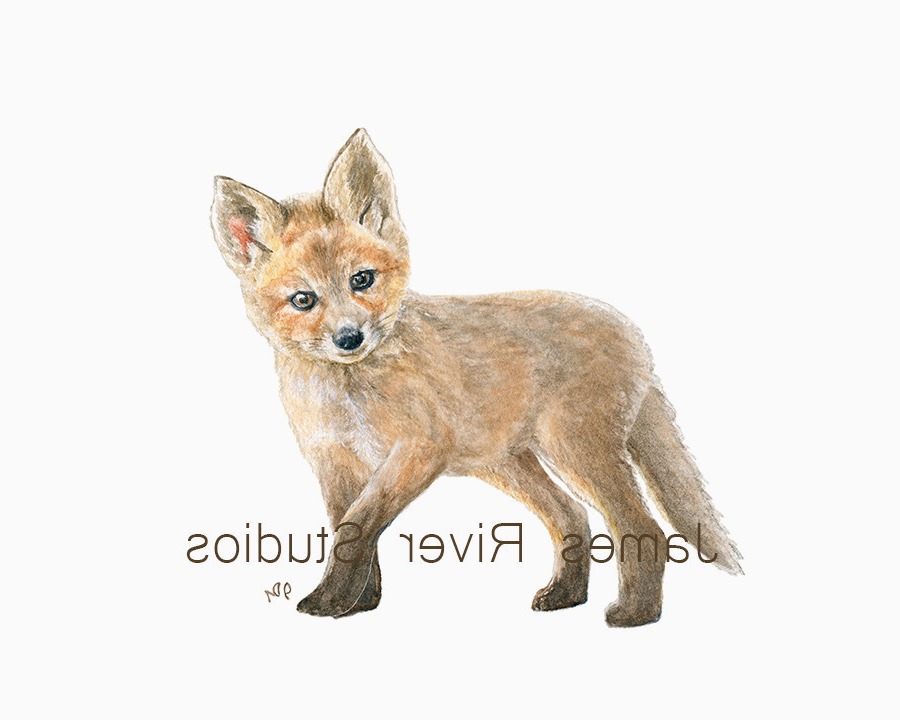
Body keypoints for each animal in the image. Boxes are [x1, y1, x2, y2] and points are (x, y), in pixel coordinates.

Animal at [210, 129, 741, 627]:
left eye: (361, 280)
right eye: (303, 300)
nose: (349, 338)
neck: (347, 396)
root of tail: (634, 334)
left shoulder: (418, 450)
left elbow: (356, 529)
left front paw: (331, 601)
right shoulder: (335, 463)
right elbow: (352, 532)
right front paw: (359, 603)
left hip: (575, 450)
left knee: (643, 527)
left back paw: (635, 614)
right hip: (512, 464)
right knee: (574, 516)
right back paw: (565, 595)